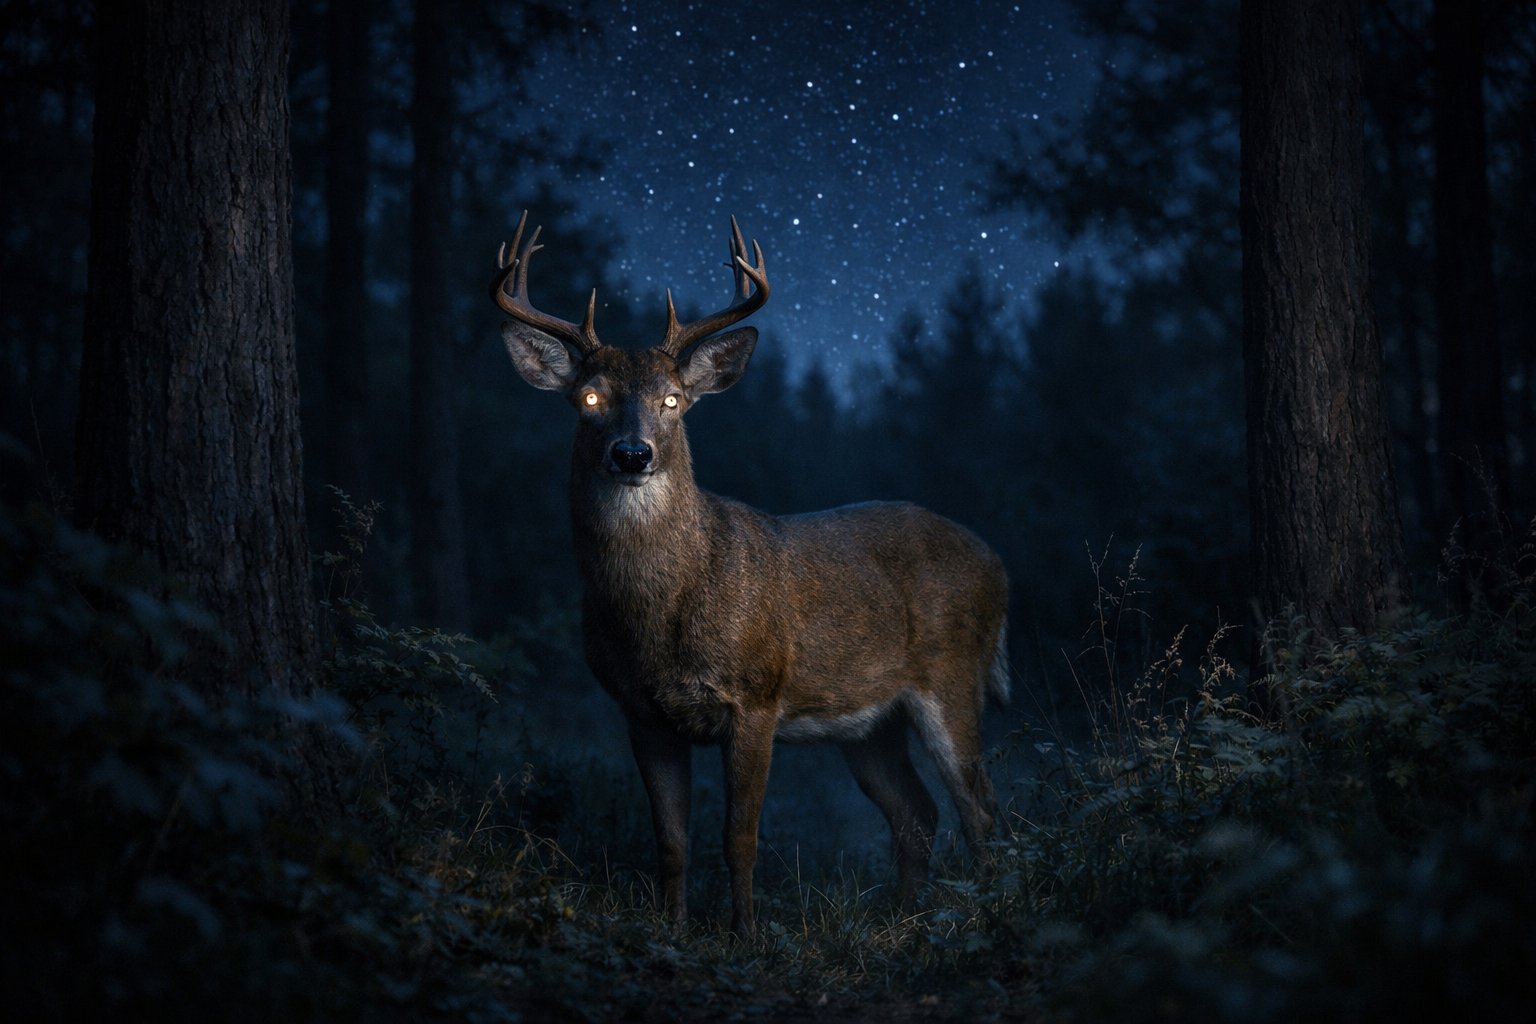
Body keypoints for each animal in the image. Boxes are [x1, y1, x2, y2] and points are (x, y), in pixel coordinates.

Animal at [491, 212, 1011, 937]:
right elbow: (670, 839)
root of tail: (997, 563)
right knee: (917, 812)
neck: (662, 612)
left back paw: (984, 913)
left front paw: (745, 934)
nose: (632, 453)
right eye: (589, 397)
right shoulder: (639, 711)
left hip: (953, 676)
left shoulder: (757, 695)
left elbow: (740, 836)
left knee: (979, 808)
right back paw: (900, 920)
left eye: (673, 399)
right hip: (869, 723)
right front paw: (674, 930)